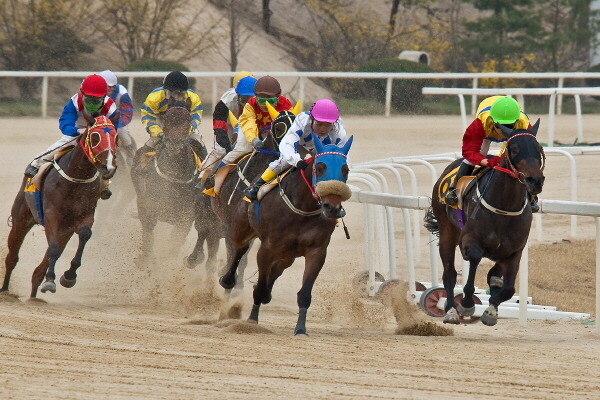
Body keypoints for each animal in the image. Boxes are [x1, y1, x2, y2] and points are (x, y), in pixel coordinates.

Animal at [1, 115, 118, 296]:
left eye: (116, 137)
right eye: (95, 137)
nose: (109, 167)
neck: (77, 177)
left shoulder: (85, 215)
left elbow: (84, 234)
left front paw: (69, 276)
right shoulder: (51, 215)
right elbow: (53, 249)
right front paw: (51, 281)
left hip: (65, 230)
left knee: (38, 272)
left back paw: (34, 297)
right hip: (21, 218)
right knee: (12, 257)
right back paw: (5, 290)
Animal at [219, 132, 352, 334]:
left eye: (346, 170)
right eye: (320, 168)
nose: (332, 208)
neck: (302, 207)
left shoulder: (317, 251)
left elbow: (304, 293)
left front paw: (301, 329)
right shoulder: (266, 248)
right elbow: (259, 288)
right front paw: (251, 321)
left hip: (287, 254)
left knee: (277, 269)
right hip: (241, 230)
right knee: (238, 251)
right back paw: (227, 286)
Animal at [424, 120, 548, 326]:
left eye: (538, 148)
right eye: (513, 149)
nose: (535, 180)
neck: (505, 207)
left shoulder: (514, 251)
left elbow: (508, 289)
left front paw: (490, 311)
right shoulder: (468, 241)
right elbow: (473, 261)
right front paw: (466, 304)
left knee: (492, 276)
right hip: (447, 231)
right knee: (449, 274)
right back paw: (451, 311)